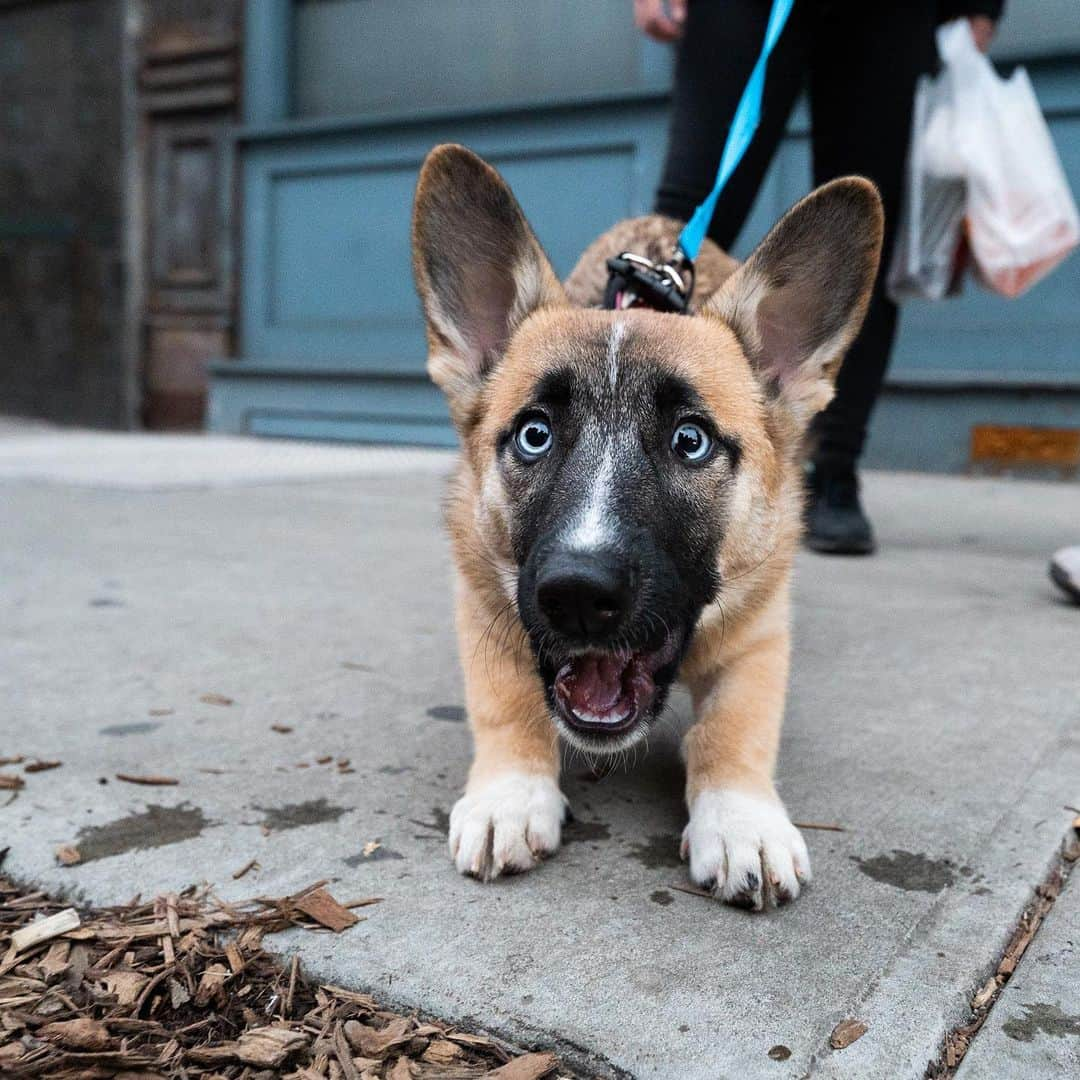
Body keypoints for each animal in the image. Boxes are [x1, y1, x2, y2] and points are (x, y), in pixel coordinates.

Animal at [408, 143, 881, 911]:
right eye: (535, 435)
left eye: (690, 441)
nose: (576, 594)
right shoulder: (485, 602)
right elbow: (506, 702)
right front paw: (510, 793)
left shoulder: (760, 635)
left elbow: (735, 727)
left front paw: (741, 818)